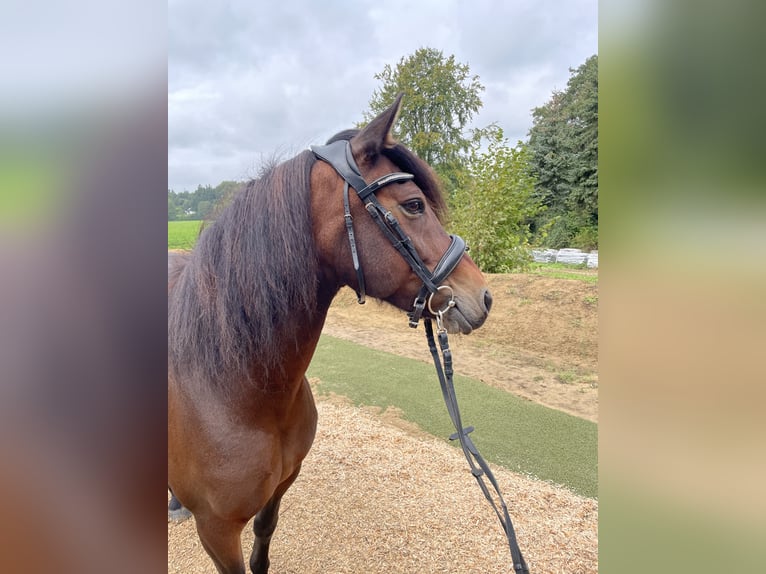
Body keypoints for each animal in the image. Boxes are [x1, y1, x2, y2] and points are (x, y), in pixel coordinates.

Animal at [168, 94, 493, 574]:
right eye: (414, 205)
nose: (483, 297)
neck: (232, 391)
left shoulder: (281, 487)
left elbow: (264, 542)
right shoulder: (217, 532)